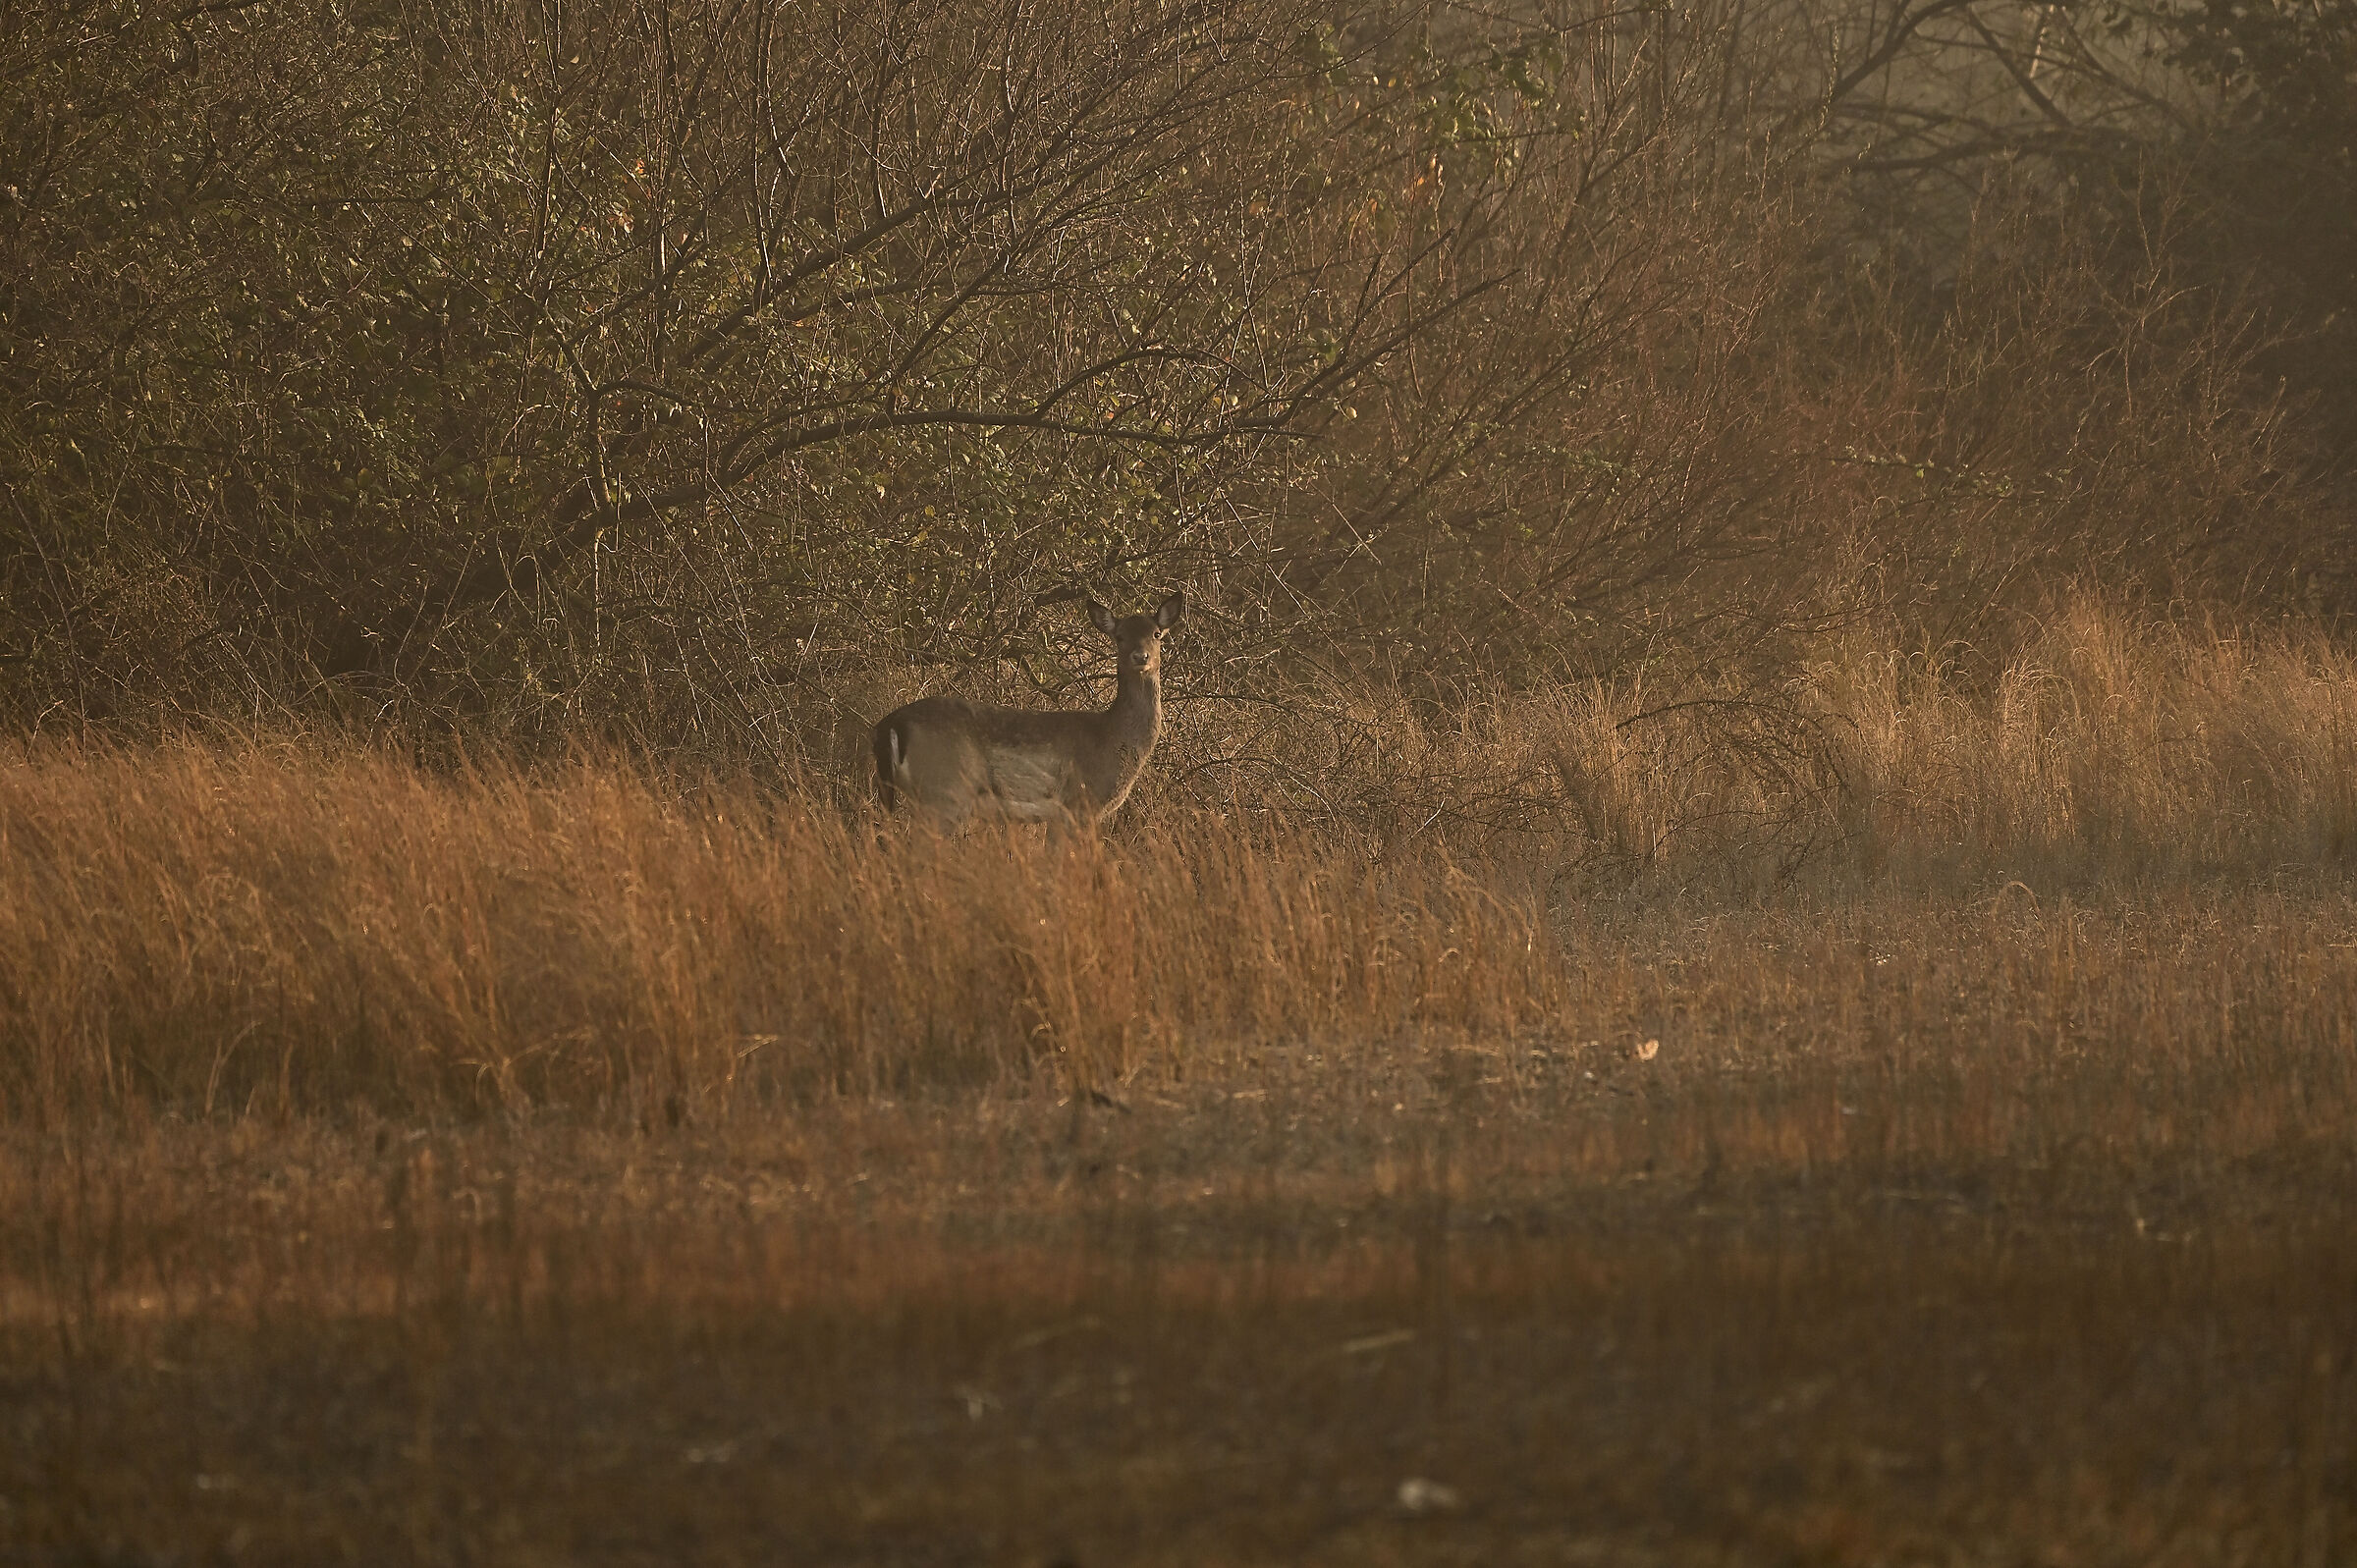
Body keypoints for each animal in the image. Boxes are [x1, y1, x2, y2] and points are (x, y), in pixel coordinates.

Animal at [871, 591, 1186, 830]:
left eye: (1157, 634)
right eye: (1119, 636)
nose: (1140, 656)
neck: (1112, 737)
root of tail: (892, 722)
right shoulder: (1076, 805)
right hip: (944, 792)